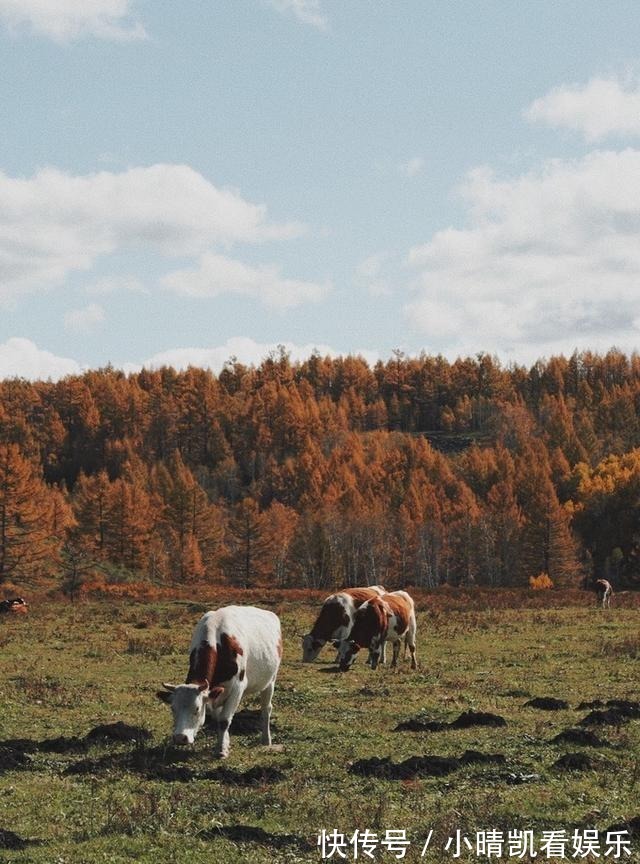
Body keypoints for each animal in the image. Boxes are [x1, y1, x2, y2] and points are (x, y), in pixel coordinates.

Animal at [156, 604, 282, 760]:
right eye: (173, 708)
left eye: (197, 709)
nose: (180, 737)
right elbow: (218, 718)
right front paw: (225, 743)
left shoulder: (237, 688)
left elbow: (224, 721)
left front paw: (221, 750)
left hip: (270, 681)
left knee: (266, 709)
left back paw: (266, 739)